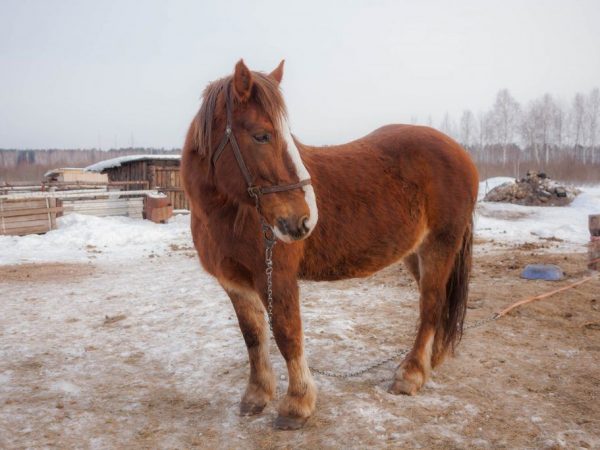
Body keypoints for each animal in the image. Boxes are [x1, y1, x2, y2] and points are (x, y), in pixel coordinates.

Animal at [180, 59, 480, 428]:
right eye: (262, 135)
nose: (305, 220)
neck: (233, 213)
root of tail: (461, 154)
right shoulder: (235, 283)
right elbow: (253, 337)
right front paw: (256, 396)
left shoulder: (277, 277)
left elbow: (287, 334)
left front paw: (297, 404)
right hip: (416, 253)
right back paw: (429, 363)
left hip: (440, 245)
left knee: (431, 305)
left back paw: (409, 376)